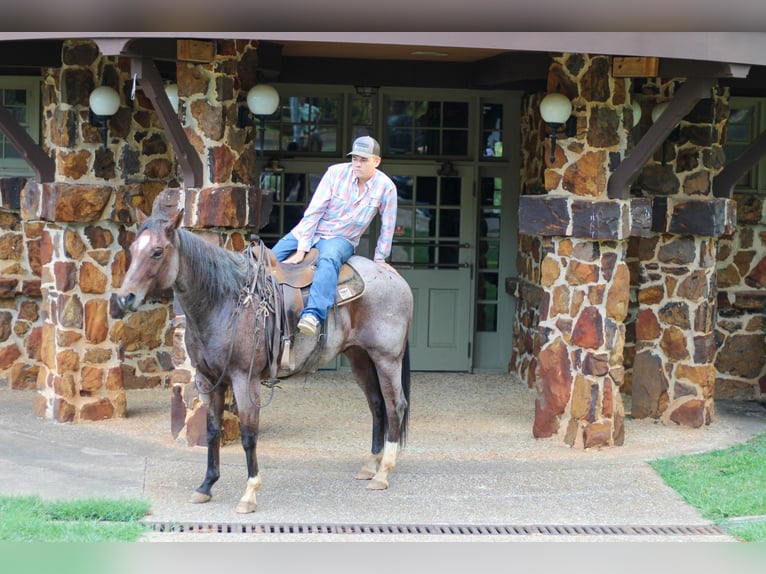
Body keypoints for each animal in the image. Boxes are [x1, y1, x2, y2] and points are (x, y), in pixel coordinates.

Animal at [114, 209, 414, 516]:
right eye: (133, 249)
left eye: (157, 251)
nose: (125, 298)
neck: (225, 301)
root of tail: (394, 277)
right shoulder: (208, 380)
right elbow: (212, 431)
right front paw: (206, 485)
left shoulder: (244, 380)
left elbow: (249, 434)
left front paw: (249, 493)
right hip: (360, 357)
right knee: (376, 405)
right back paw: (370, 465)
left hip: (386, 358)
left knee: (395, 406)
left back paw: (383, 473)